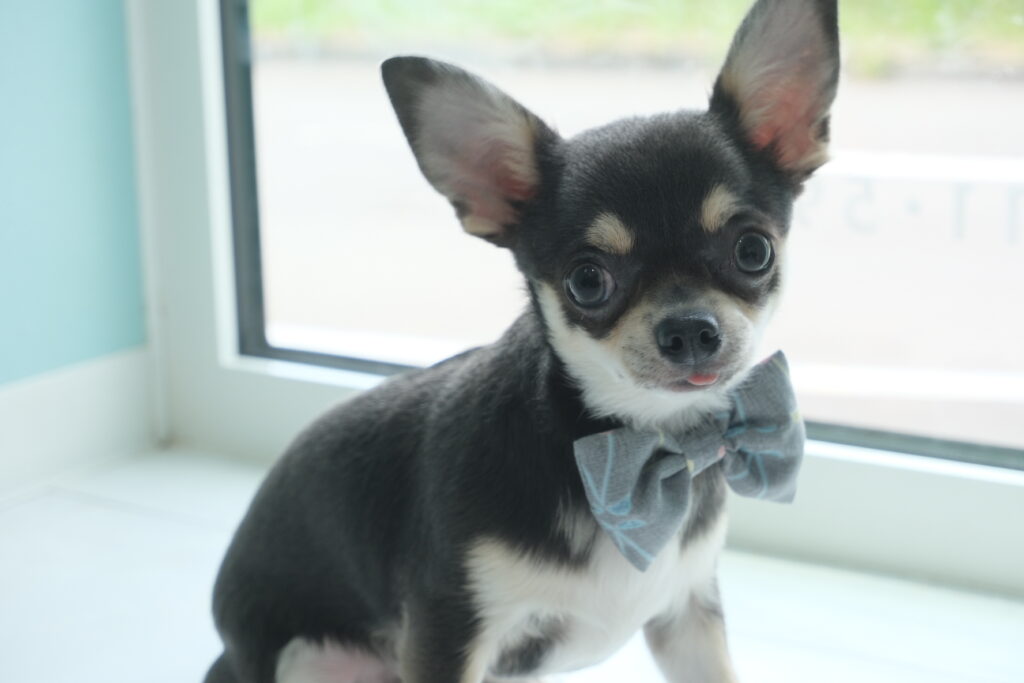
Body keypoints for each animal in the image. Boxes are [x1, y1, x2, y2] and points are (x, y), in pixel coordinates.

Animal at [205, 0, 838, 681]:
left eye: (753, 250)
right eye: (587, 281)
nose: (690, 329)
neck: (636, 441)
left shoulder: (687, 614)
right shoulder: (446, 628)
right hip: (309, 657)